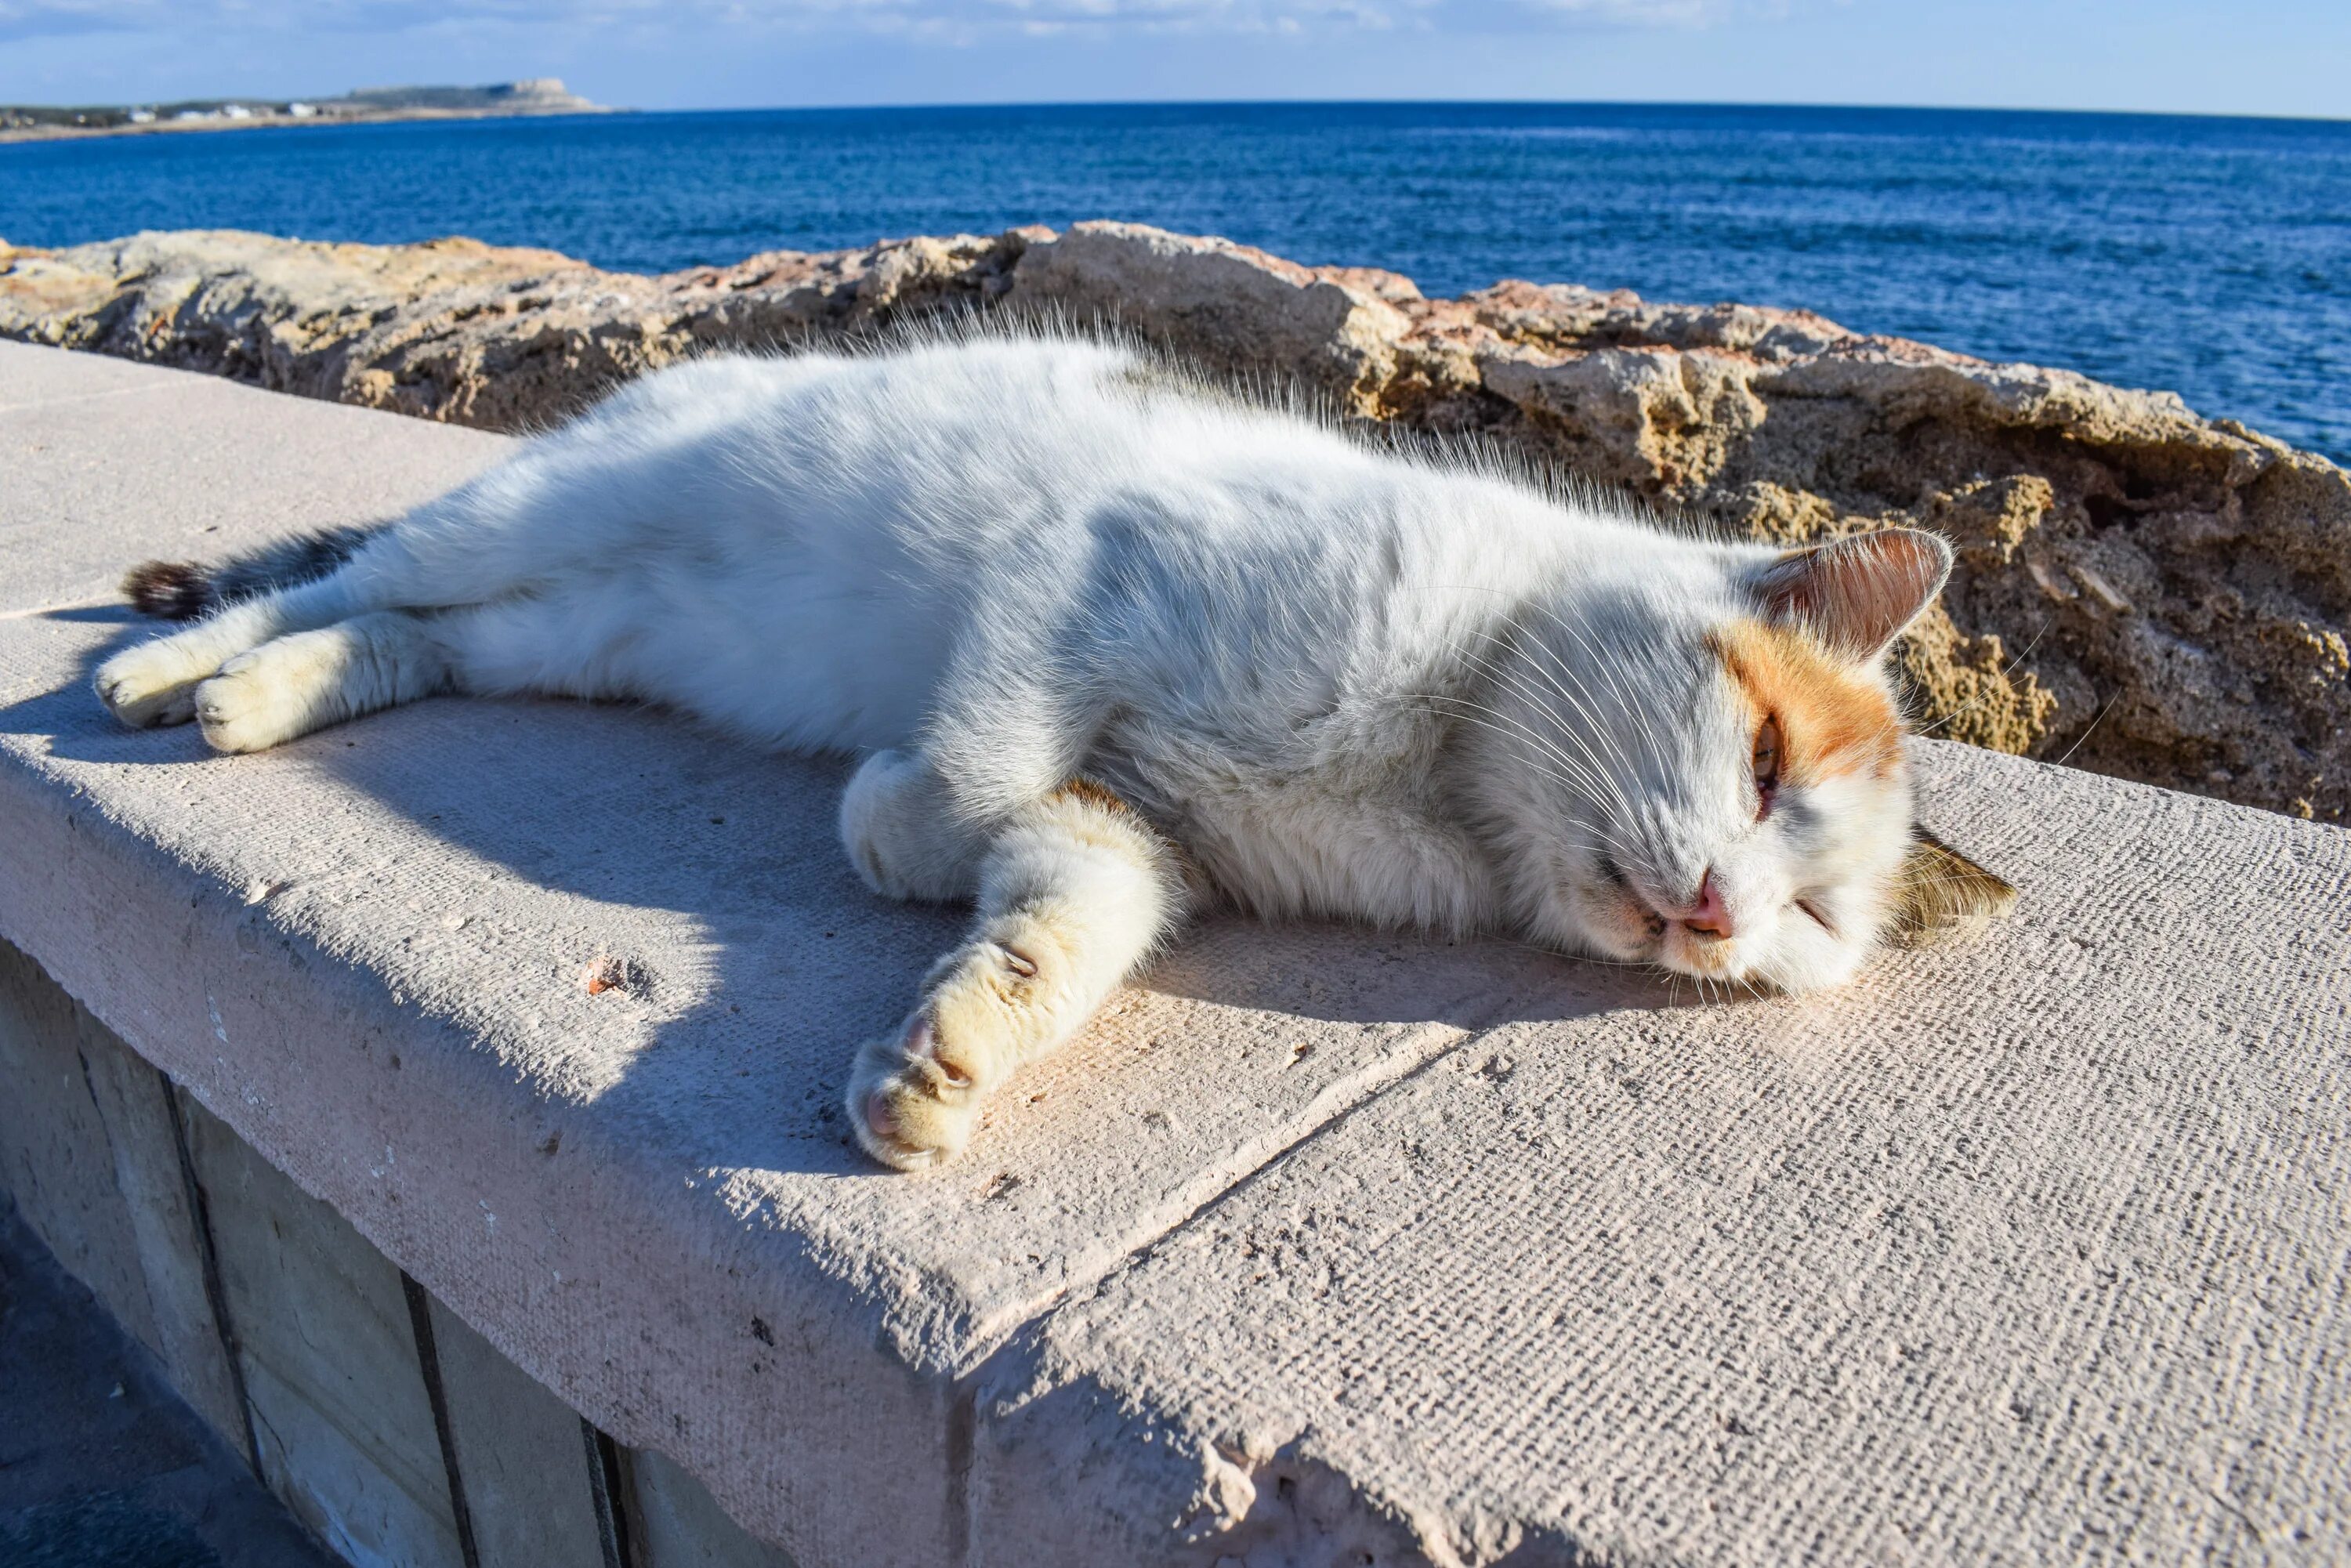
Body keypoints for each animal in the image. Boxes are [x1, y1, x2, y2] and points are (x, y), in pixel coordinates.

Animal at [87, 331, 2003, 1166]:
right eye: (1765, 763)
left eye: (1811, 926)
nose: (1720, 914)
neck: (1444, 769)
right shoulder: (1083, 567)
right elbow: (967, 758)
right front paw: (891, 820)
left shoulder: (1132, 832)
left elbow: (1063, 920)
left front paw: (945, 1060)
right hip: (553, 505)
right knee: (348, 572)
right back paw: (175, 669)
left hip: (578, 633)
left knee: (417, 633)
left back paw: (265, 694)